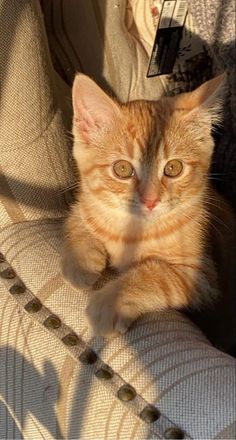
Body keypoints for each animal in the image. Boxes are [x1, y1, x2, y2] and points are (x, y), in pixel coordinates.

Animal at [61, 73, 235, 348]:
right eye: (122, 169)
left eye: (173, 168)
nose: (150, 200)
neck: (130, 231)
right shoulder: (88, 202)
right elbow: (79, 213)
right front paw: (80, 261)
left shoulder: (204, 278)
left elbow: (158, 274)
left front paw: (109, 302)